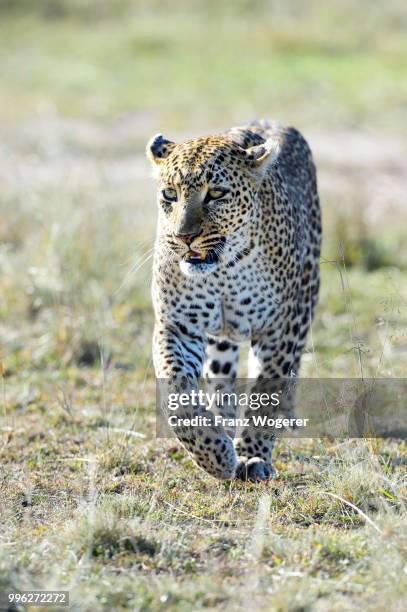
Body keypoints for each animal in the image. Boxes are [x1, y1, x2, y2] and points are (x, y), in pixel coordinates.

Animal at [147, 119, 322, 482]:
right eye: (170, 194)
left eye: (216, 194)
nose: (184, 237)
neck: (223, 271)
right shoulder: (178, 326)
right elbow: (178, 392)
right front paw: (214, 454)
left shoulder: (279, 330)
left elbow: (265, 393)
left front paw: (252, 456)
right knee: (220, 376)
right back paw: (224, 427)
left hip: (305, 300)